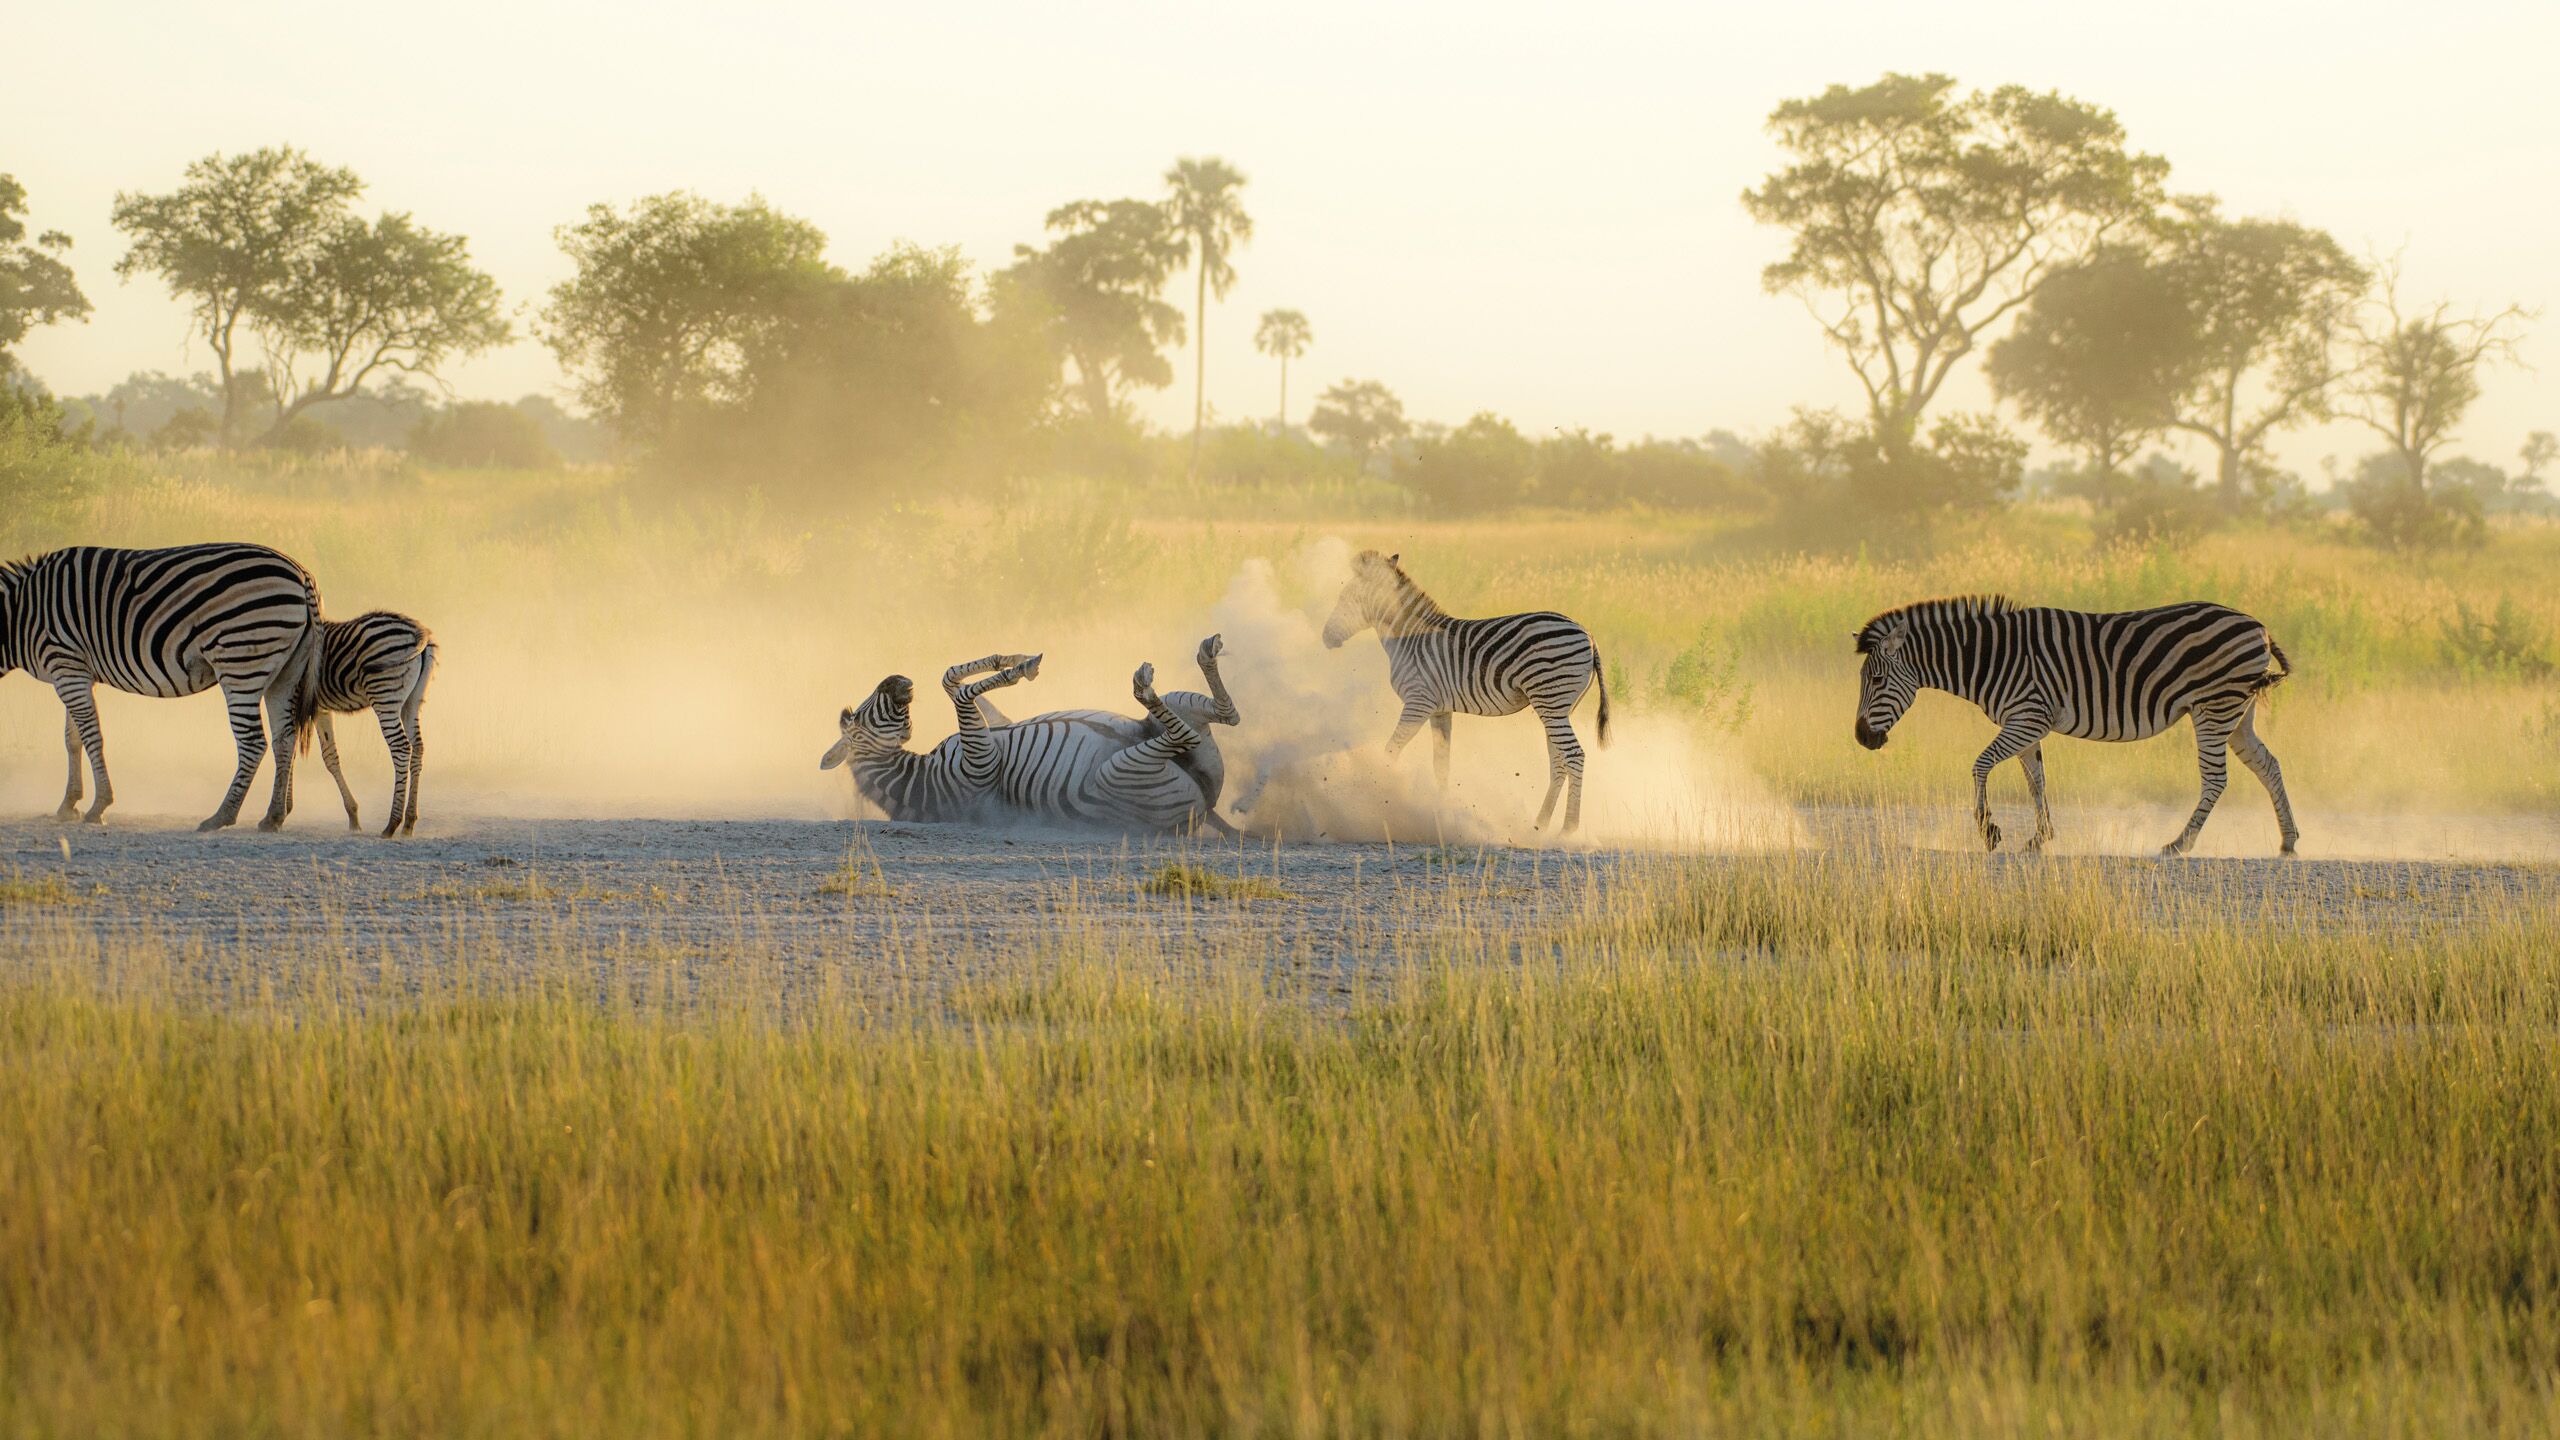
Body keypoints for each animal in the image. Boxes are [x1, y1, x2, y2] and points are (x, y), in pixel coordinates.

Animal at [0, 542, 324, 831]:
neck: (21, 614)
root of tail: (301, 574)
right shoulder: (74, 671)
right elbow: (73, 739)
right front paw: (69, 804)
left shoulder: (67, 666)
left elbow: (91, 737)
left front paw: (98, 806)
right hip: (286, 672)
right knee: (285, 738)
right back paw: (274, 816)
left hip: (241, 661)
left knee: (254, 742)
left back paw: (221, 816)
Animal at [310, 610, 438, 837]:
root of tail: (417, 629)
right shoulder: (318, 708)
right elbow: (329, 756)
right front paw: (353, 816)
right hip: (413, 701)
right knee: (418, 747)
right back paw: (409, 822)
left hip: (385, 695)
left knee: (401, 747)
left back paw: (392, 823)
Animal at [820, 636, 1242, 835]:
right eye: (856, 718)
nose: (896, 679)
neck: (921, 778)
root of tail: (1207, 809)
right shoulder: (981, 760)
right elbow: (960, 692)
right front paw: (1017, 670)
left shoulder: (993, 729)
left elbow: (950, 680)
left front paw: (1013, 660)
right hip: (1119, 773)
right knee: (1190, 735)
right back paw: (1145, 686)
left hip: (1184, 724)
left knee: (1228, 715)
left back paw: (1206, 653)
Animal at [1320, 549, 1610, 832]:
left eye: (1345, 599)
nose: (1326, 637)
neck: (1408, 638)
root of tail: (1589, 635)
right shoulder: (1440, 709)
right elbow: (1441, 765)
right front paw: (1443, 810)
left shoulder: (1418, 702)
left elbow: (1391, 750)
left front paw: (1381, 795)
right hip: (1559, 707)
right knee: (1558, 761)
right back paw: (1540, 823)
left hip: (1550, 698)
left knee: (1574, 755)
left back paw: (1569, 829)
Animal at [1852, 596, 2300, 856]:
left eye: (1877, 680)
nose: (1861, 738)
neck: (1990, 657)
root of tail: (2259, 625)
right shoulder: (2027, 722)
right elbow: (2036, 782)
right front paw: (2040, 837)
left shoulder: (2028, 715)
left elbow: (1980, 765)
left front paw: (1989, 831)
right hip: (2237, 714)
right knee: (2269, 766)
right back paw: (2288, 840)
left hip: (2214, 707)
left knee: (2216, 779)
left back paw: (2179, 843)